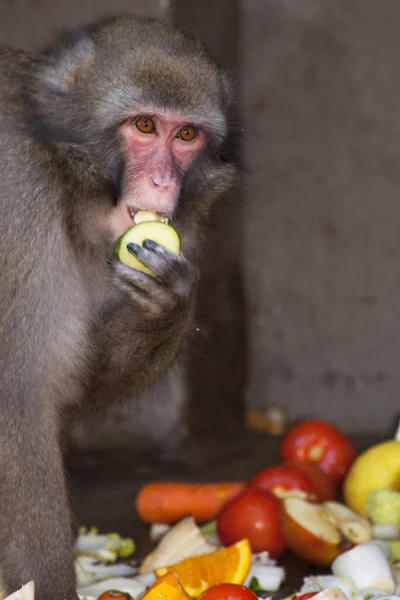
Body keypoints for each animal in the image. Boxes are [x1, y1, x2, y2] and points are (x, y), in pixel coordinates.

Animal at [0, 14, 236, 600]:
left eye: (187, 135)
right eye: (145, 126)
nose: (162, 182)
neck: (61, 170)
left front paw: (167, 308)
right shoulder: (17, 201)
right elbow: (17, 401)